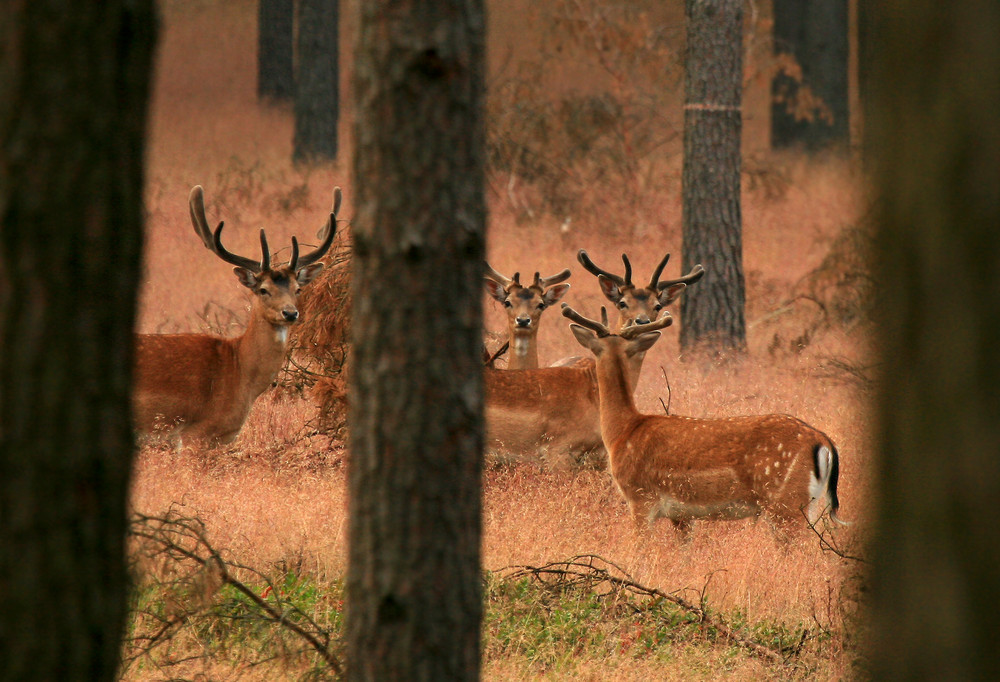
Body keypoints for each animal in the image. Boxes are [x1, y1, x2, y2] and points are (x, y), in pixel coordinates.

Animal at [564, 304, 844, 536]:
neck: (623, 431)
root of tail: (823, 442)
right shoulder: (681, 515)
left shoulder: (641, 498)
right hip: (810, 504)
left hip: (785, 501)